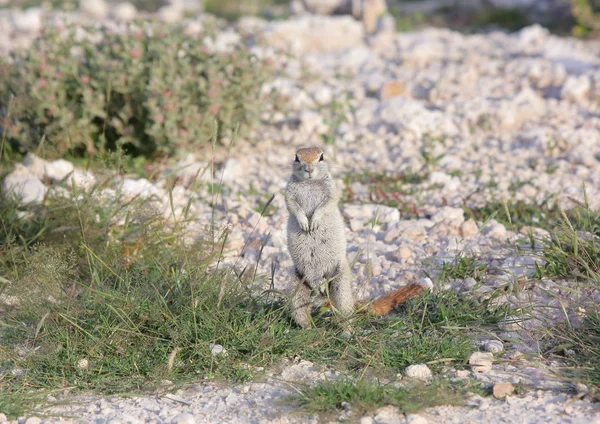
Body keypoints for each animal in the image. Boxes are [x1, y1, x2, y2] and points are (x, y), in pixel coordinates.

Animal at [284, 146, 422, 328]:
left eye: (321, 157)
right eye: (296, 157)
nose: (308, 169)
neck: (310, 182)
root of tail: (320, 288)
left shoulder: (331, 190)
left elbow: (326, 203)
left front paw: (314, 221)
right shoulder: (289, 192)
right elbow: (292, 205)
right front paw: (304, 222)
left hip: (340, 284)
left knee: (345, 313)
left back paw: (347, 331)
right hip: (298, 285)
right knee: (301, 312)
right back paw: (308, 328)